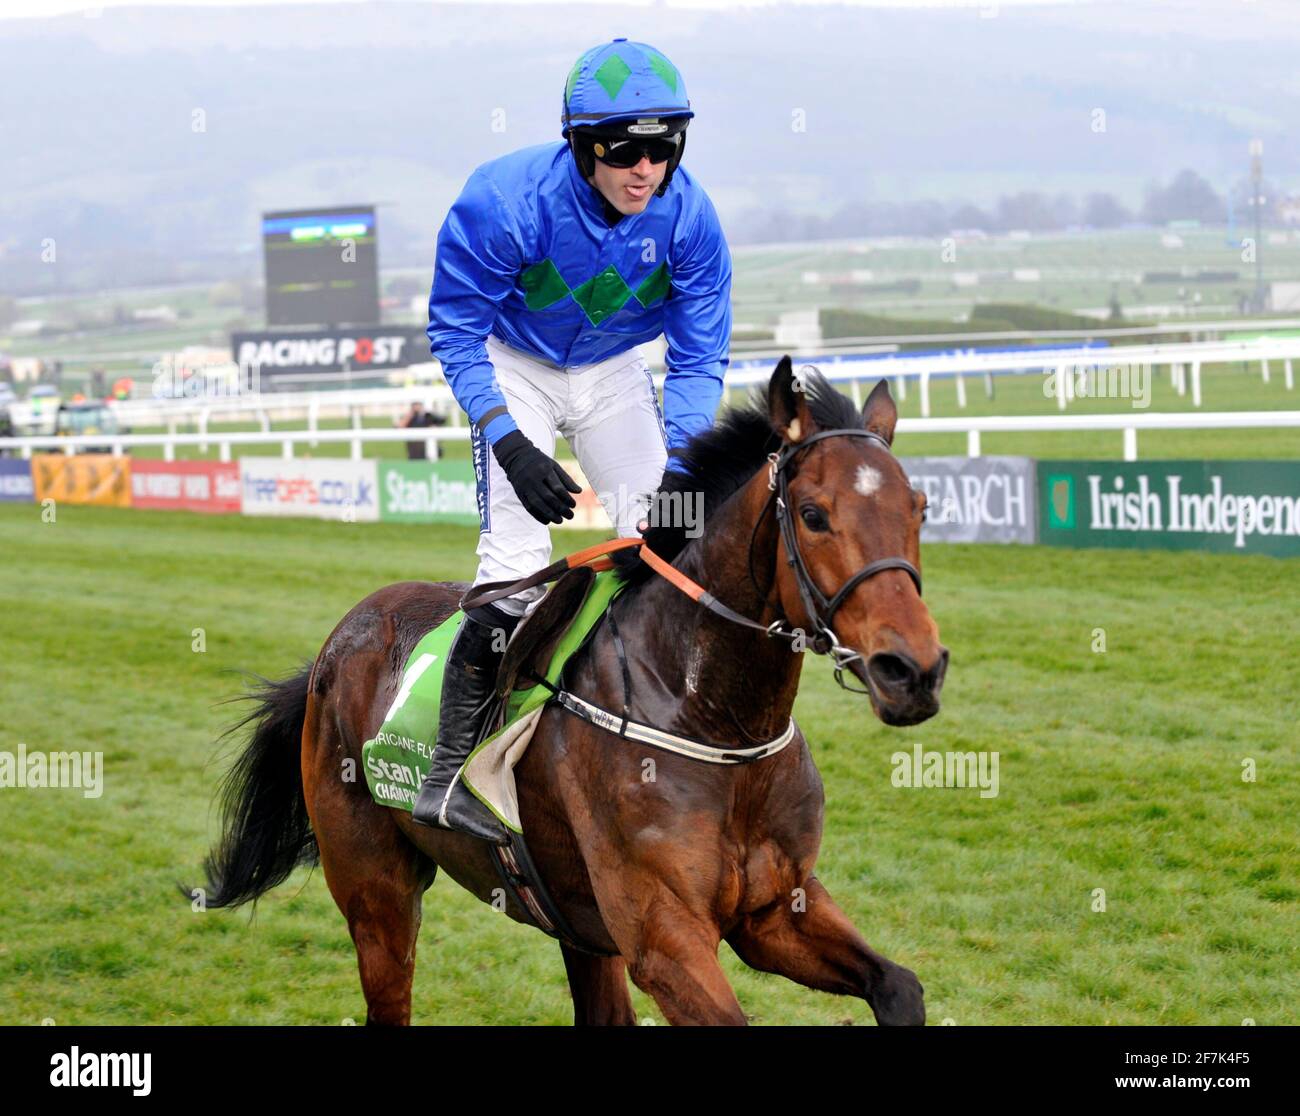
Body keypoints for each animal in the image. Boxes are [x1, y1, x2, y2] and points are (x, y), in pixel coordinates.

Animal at [197, 358, 946, 1024]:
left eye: (920, 507)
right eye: (814, 514)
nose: (912, 670)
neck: (713, 719)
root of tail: (338, 641)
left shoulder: (772, 910)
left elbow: (899, 986)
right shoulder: (665, 940)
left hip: (578, 926)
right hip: (375, 889)